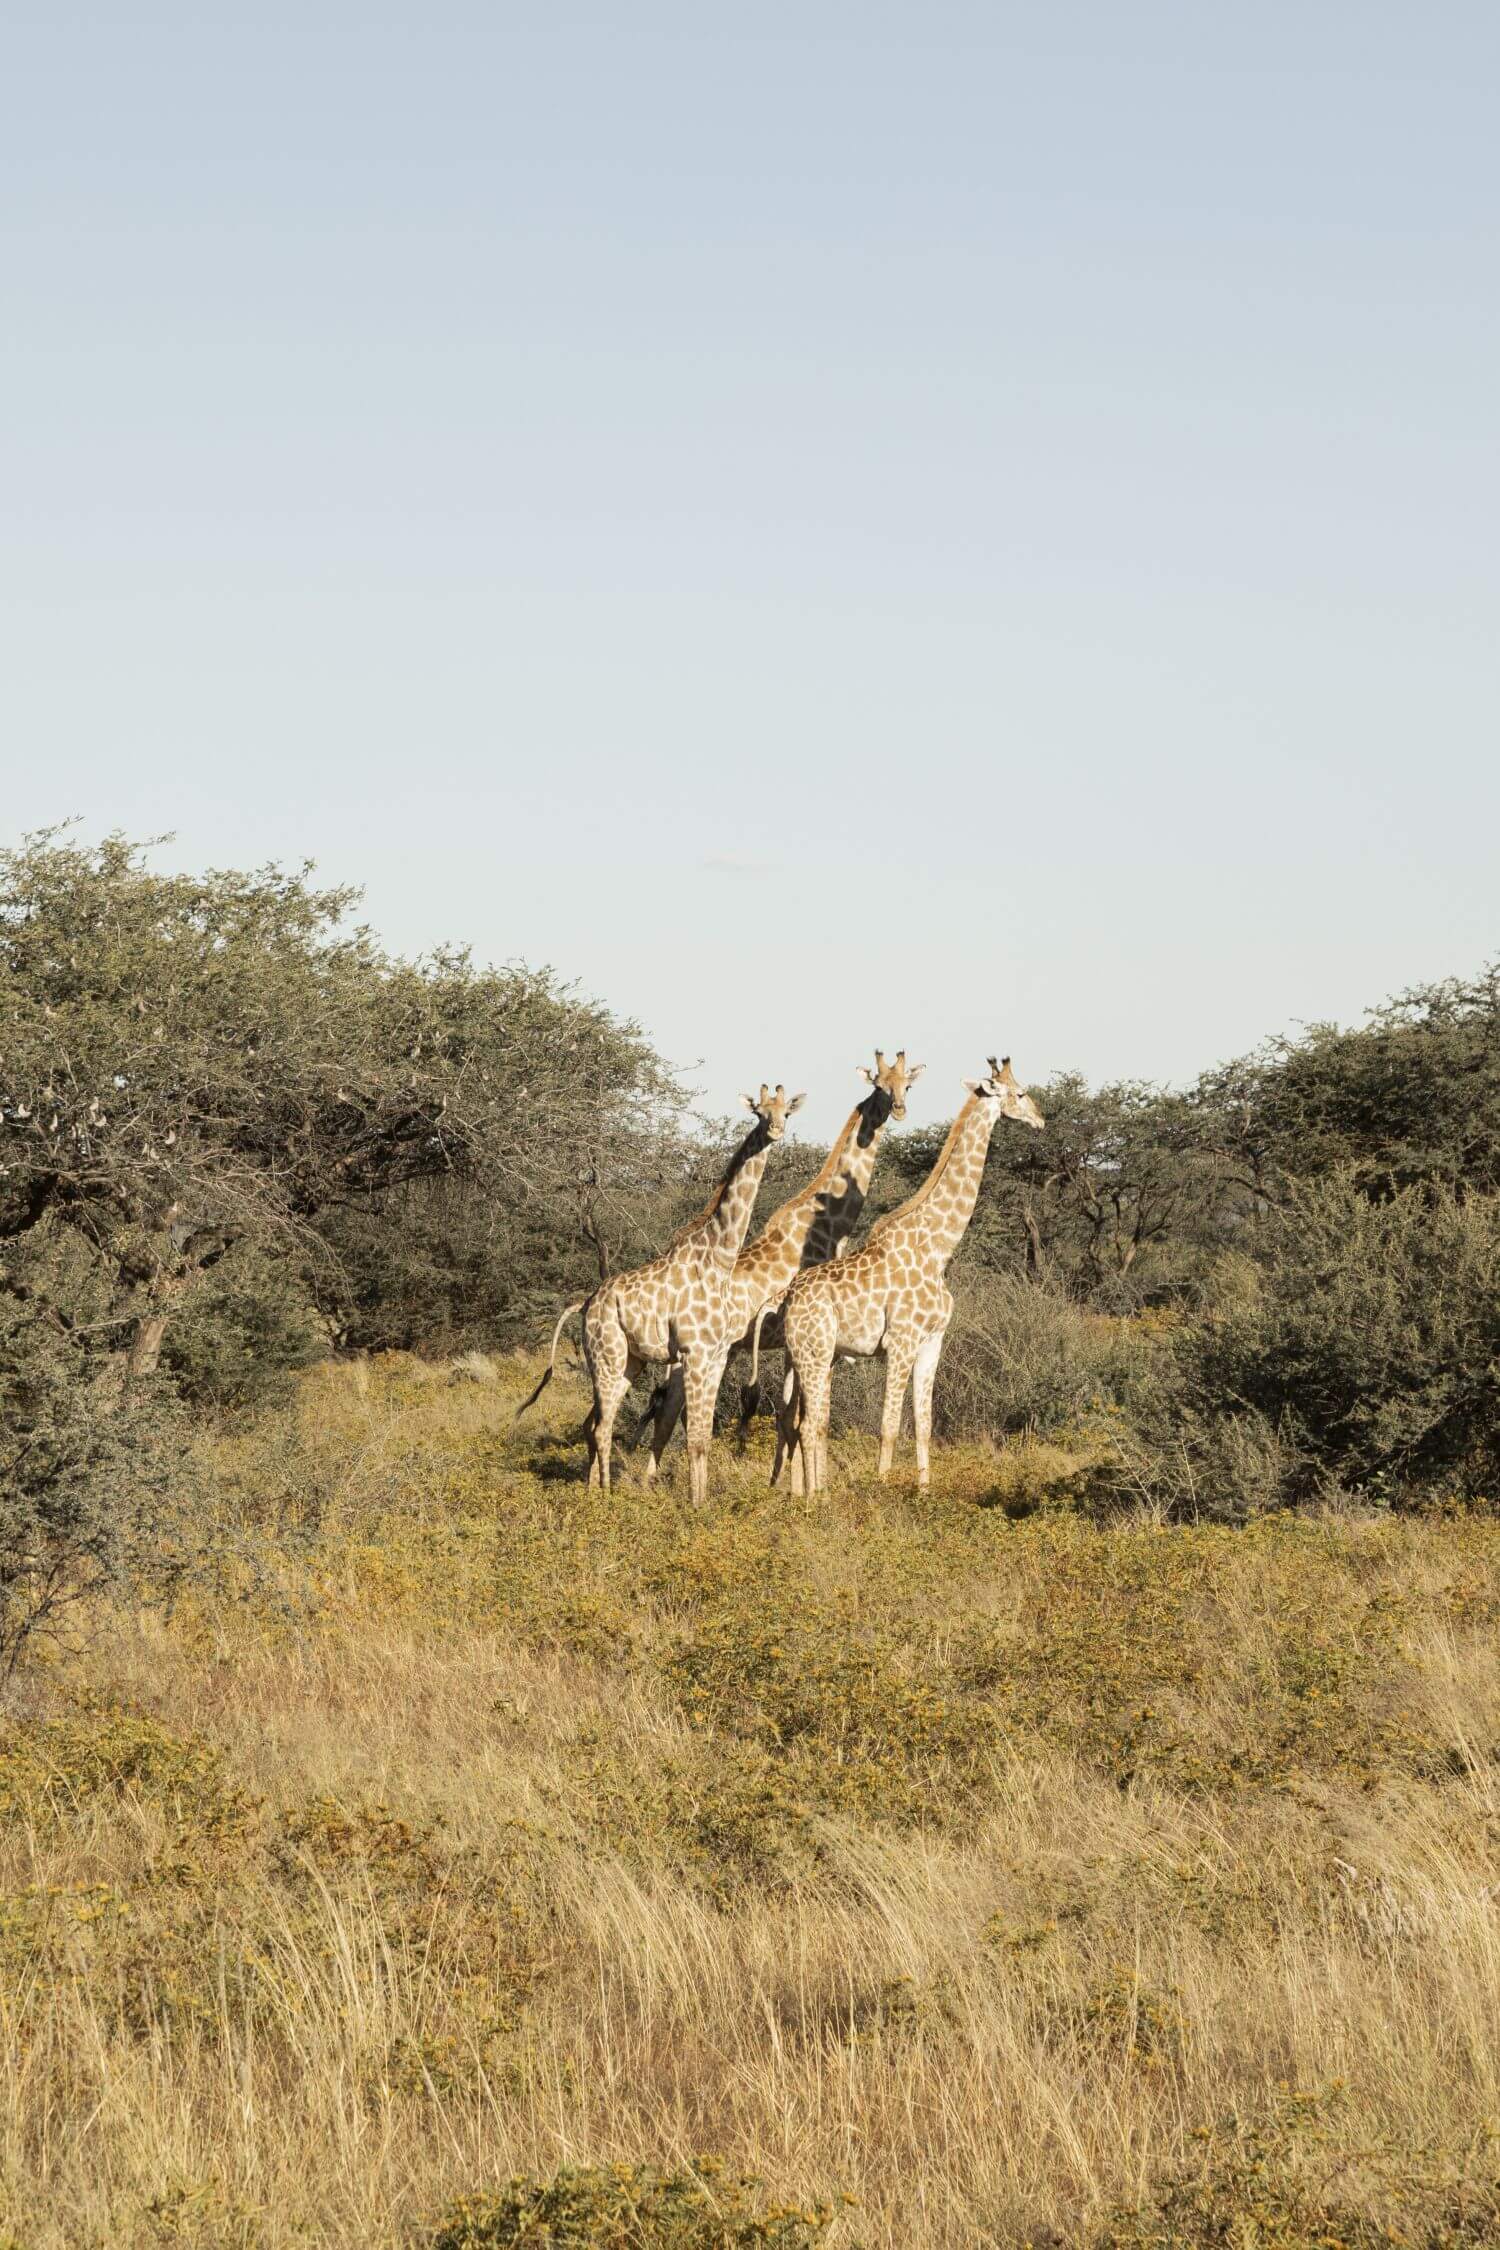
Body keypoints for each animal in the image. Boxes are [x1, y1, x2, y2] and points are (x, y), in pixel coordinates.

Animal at [517, 1080, 805, 1503]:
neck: (719, 1259)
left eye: (786, 1111)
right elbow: (694, 1436)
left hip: (629, 1361)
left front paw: (703, 1502)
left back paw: (595, 1489)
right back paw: (604, 1496)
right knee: (601, 1427)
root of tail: (586, 1303)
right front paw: (695, 1504)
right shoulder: (694, 1352)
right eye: (759, 1112)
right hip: (605, 1354)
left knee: (596, 1424)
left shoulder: (716, 1355)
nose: (776, 1131)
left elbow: (702, 1436)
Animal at [638, 1048, 922, 1476]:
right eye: (880, 1086)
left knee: (665, 1406)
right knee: (672, 1408)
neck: (828, 1223)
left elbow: (792, 1416)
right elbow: (804, 1416)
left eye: (907, 1085)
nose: (901, 1109)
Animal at [773, 1057, 1043, 1494]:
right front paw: (882, 1490)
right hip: (816, 1353)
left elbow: (924, 1424)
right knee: (810, 1424)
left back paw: (810, 1495)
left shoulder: (933, 1341)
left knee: (800, 1422)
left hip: (810, 1357)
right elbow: (888, 1426)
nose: (1041, 1119)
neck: (937, 1248)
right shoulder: (900, 1341)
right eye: (1019, 1093)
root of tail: (789, 1300)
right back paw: (819, 1499)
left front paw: (924, 1492)